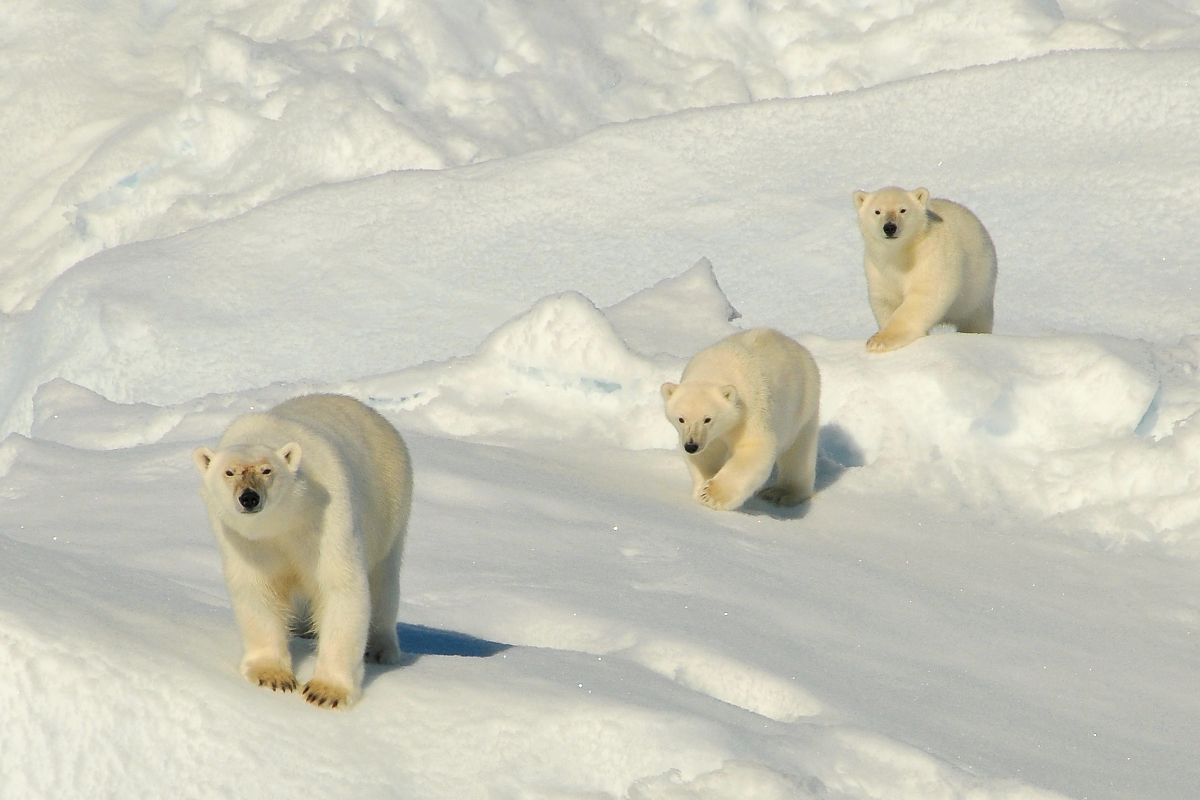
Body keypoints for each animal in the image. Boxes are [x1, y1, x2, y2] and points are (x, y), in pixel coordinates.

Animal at [193, 393, 412, 709]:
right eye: (229, 472)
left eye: (267, 470)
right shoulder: (245, 541)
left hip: (390, 507)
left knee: (384, 582)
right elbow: (256, 589)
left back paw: (381, 649)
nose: (249, 497)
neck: (285, 522)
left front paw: (326, 691)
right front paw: (272, 675)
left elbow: (340, 586)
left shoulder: (326, 517)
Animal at [661, 328, 820, 511]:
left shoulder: (751, 408)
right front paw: (703, 486)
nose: (691, 446)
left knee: (799, 453)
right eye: (681, 419)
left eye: (708, 419)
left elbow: (755, 448)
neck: (714, 370)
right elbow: (707, 454)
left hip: (803, 406)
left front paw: (711, 495)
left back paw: (782, 493)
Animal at [852, 186, 997, 353]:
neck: (901, 255)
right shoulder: (878, 269)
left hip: (979, 290)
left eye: (903, 210)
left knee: (976, 319)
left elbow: (925, 295)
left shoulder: (931, 257)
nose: (889, 227)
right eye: (877, 211)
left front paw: (880, 341)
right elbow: (886, 299)